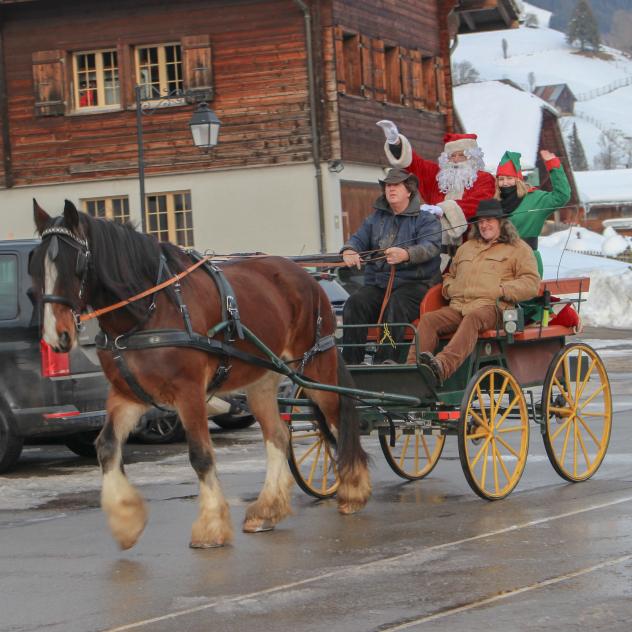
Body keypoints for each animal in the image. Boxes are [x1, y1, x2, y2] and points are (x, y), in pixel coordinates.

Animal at [32, 201, 370, 548]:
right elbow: (107, 446)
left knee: (339, 418)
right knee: (277, 435)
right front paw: (126, 519)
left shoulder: (189, 391)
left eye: (74, 265)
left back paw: (353, 491)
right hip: (262, 380)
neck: (149, 312)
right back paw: (267, 509)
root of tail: (307, 277)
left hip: (316, 367)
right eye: (36, 266)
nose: (55, 336)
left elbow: (200, 455)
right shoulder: (128, 395)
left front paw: (210, 527)